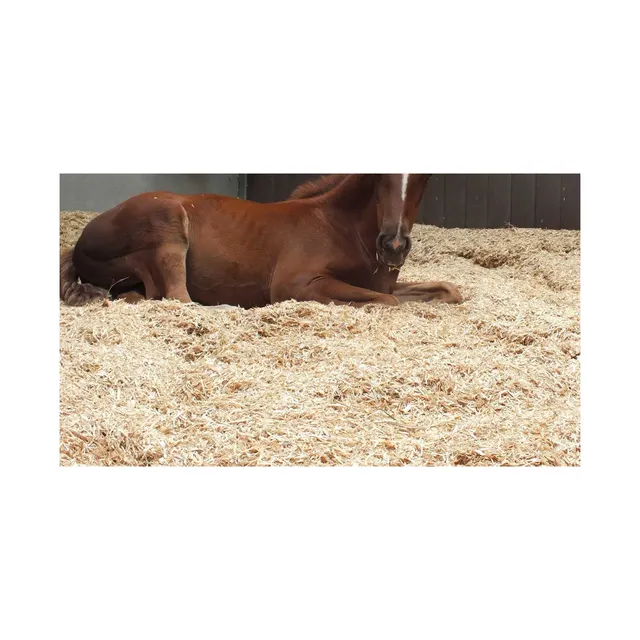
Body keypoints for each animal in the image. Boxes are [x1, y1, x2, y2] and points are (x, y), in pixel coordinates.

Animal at [60, 174, 462, 308]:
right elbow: (389, 302)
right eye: (380, 179)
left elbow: (448, 291)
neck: (341, 226)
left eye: (425, 177)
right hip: (168, 226)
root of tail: (77, 246)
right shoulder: (294, 284)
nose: (393, 246)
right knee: (178, 299)